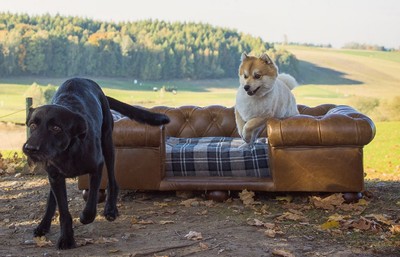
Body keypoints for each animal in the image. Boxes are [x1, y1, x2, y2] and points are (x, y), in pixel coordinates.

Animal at [22, 77, 169, 248]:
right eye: (32, 125)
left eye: (56, 128)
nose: (30, 148)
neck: (68, 151)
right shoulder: (55, 176)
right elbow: (63, 210)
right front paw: (66, 238)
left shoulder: (96, 167)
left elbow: (91, 201)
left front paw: (85, 217)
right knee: (52, 199)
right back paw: (43, 225)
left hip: (108, 144)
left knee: (113, 181)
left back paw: (110, 210)